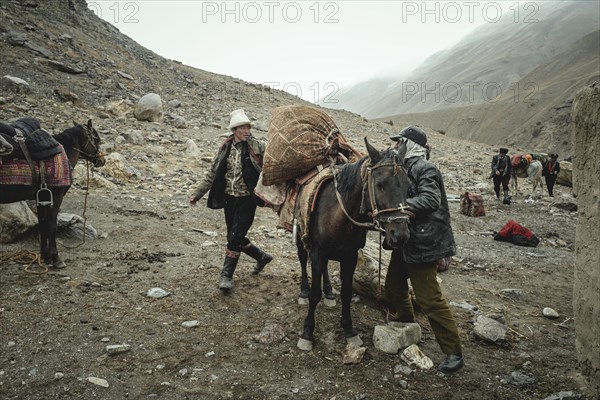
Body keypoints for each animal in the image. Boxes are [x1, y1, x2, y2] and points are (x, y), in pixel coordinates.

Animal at [0, 119, 105, 268]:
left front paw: (45, 257)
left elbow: (43, 225)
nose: (102, 160)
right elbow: (51, 226)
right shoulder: (56, 197)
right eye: (97, 140)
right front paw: (56, 258)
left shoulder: (41, 198)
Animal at [296, 138, 412, 350]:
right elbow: (314, 295)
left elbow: (346, 293)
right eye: (380, 184)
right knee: (302, 259)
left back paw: (329, 293)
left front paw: (349, 329)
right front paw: (307, 333)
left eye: (408, 186)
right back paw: (303, 291)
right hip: (301, 235)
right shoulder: (317, 253)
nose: (400, 235)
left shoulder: (350, 256)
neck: (339, 216)